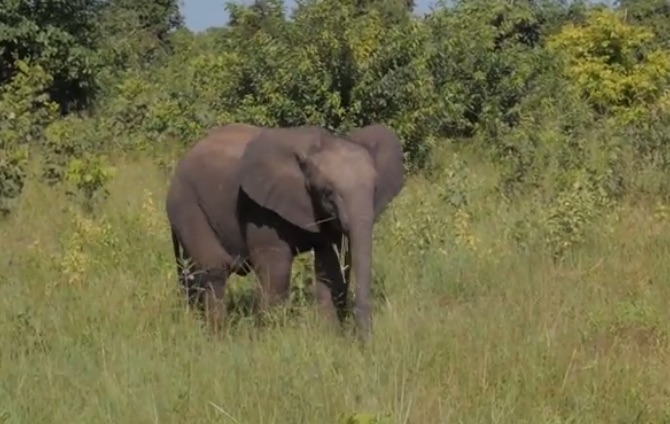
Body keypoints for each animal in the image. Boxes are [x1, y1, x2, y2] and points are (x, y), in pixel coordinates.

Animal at [165, 121, 406, 340]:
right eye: (327, 192)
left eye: (375, 189)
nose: (364, 343)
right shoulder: (259, 208)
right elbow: (277, 268)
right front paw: (273, 337)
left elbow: (330, 266)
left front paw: (329, 336)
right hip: (186, 203)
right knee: (214, 269)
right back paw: (218, 335)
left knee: (192, 272)